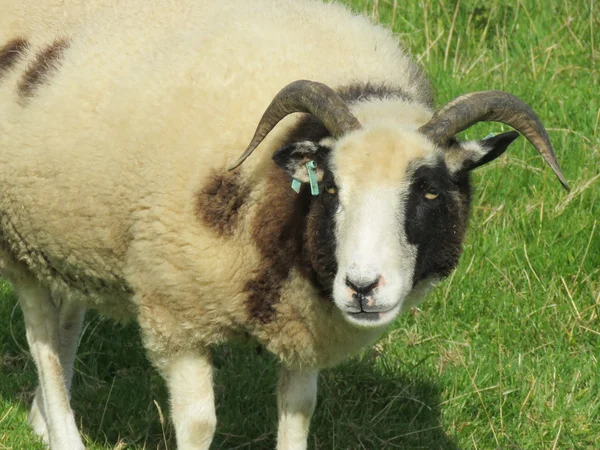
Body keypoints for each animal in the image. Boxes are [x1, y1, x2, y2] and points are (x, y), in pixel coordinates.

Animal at [0, 0, 568, 448]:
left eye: (430, 191)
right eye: (331, 187)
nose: (363, 287)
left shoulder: (305, 321)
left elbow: (298, 412)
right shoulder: (175, 308)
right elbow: (198, 424)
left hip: (67, 226)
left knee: (68, 312)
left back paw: (43, 419)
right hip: (17, 233)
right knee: (41, 336)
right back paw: (63, 432)